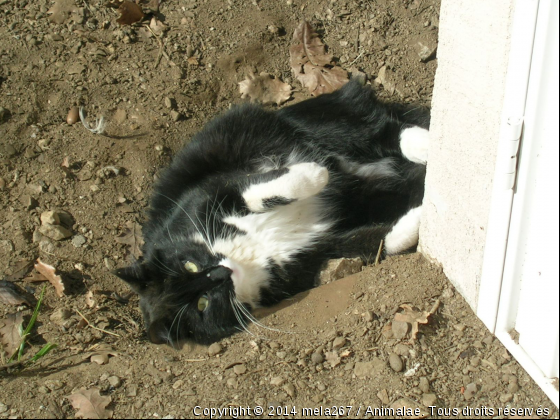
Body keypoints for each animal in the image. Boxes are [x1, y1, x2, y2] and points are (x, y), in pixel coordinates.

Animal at [114, 81, 428, 344]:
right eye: (202, 304)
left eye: (189, 265)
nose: (219, 273)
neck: (246, 255)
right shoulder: (313, 258)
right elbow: (373, 242)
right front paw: (418, 221)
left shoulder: (205, 193)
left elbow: (255, 190)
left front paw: (314, 173)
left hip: (308, 125)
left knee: (384, 129)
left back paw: (424, 144)